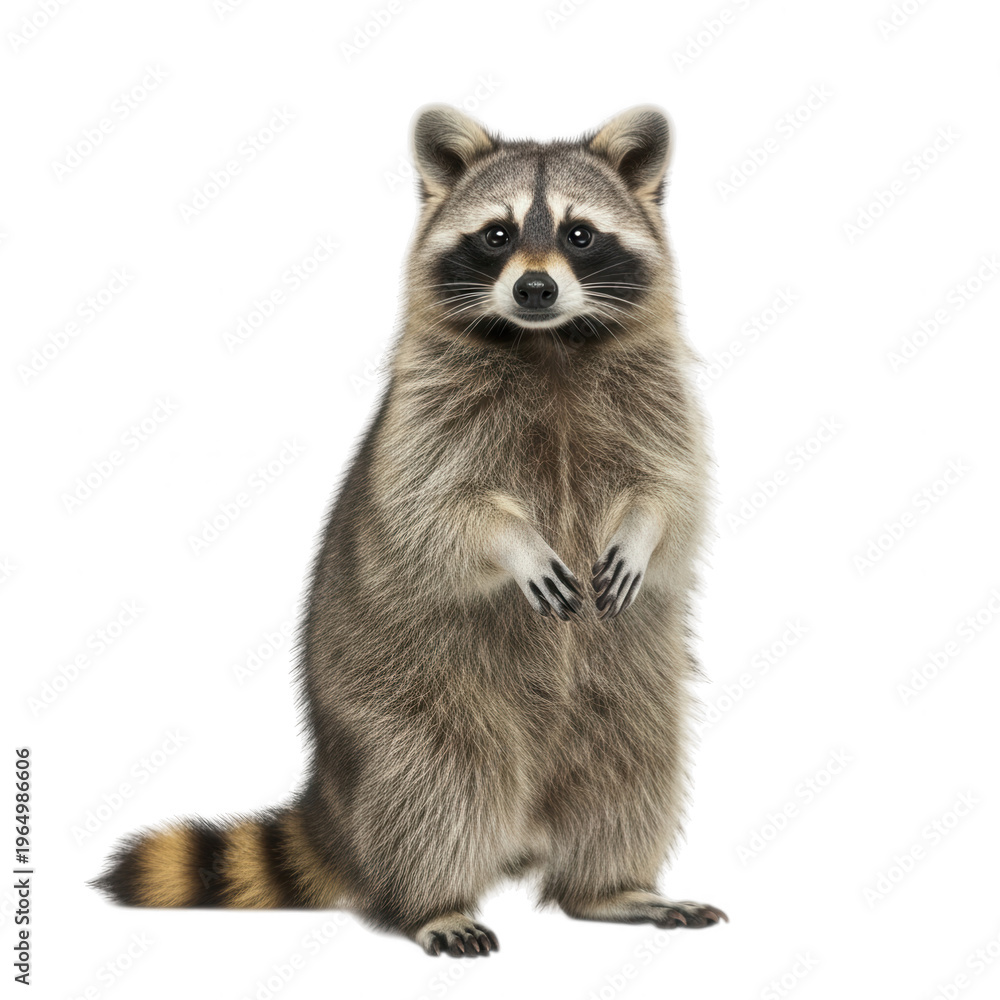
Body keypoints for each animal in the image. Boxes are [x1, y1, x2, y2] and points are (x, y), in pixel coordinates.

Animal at [93, 105, 728, 956]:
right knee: (433, 790)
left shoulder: (660, 399)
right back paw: (433, 900)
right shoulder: (423, 419)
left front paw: (641, 528)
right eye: (496, 234)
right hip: (406, 705)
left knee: (631, 772)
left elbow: (674, 489)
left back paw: (609, 888)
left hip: (632, 690)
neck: (547, 343)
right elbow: (438, 509)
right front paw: (512, 542)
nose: (533, 286)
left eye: (579, 234)